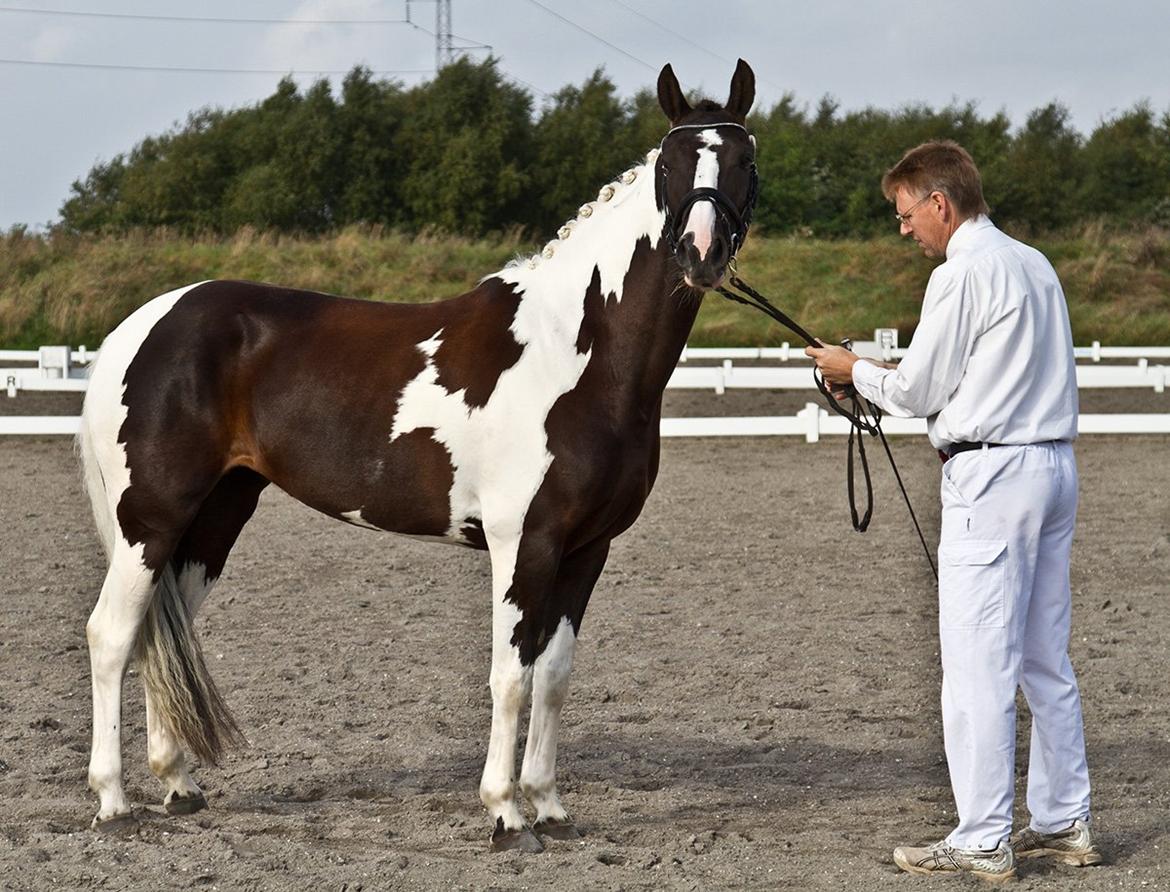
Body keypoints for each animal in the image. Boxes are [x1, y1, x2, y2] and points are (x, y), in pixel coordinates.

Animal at [80, 59, 758, 852]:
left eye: (744, 161)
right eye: (671, 163)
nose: (701, 254)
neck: (577, 352)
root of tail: (139, 327)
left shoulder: (588, 548)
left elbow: (554, 676)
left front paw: (550, 806)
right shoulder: (524, 542)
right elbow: (510, 676)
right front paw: (505, 814)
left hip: (214, 516)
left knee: (163, 633)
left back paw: (178, 785)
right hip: (151, 519)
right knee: (112, 634)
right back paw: (112, 800)